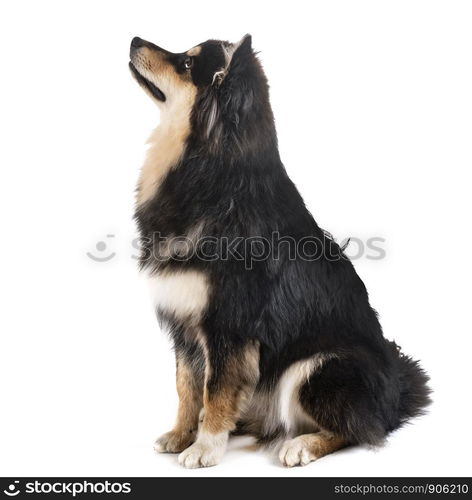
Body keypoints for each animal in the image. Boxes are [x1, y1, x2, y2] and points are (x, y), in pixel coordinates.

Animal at [129, 35, 432, 468]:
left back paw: (302, 444)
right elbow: (186, 386)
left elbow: (216, 390)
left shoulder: (229, 326)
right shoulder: (185, 323)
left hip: (318, 366)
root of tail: (396, 396)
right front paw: (181, 434)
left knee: (357, 428)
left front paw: (205, 447)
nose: (134, 39)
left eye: (186, 63)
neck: (209, 170)